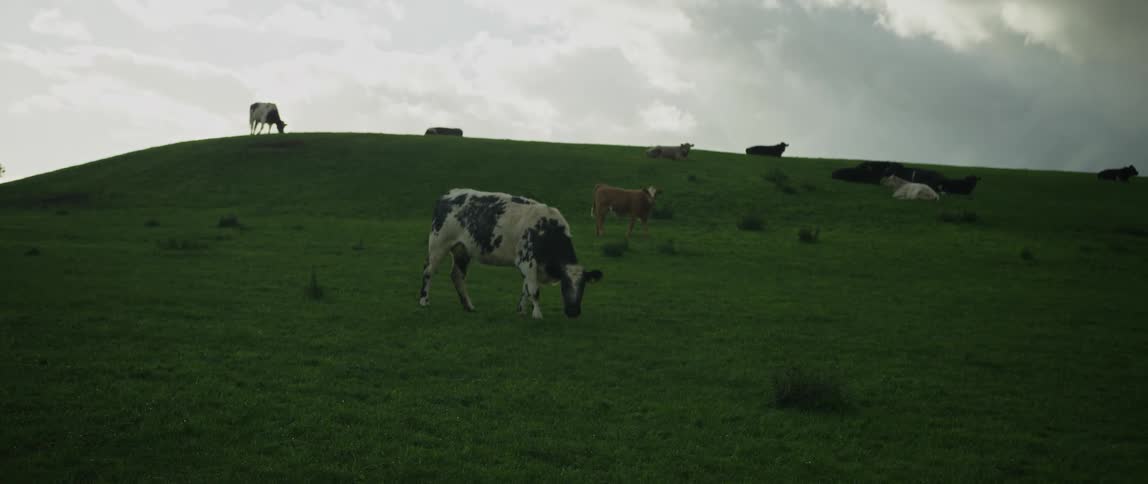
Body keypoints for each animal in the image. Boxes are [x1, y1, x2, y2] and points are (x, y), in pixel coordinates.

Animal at [418, 189, 603, 319]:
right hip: (438, 244)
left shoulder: (532, 266)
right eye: (564, 284)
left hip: (462, 250)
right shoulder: (527, 261)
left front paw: (521, 311)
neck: (547, 230)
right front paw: (537, 315)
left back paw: (468, 306)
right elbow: (534, 290)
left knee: (457, 275)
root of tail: (449, 195)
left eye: (583, 285)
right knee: (428, 271)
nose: (573, 312)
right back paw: (424, 301)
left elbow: (526, 289)